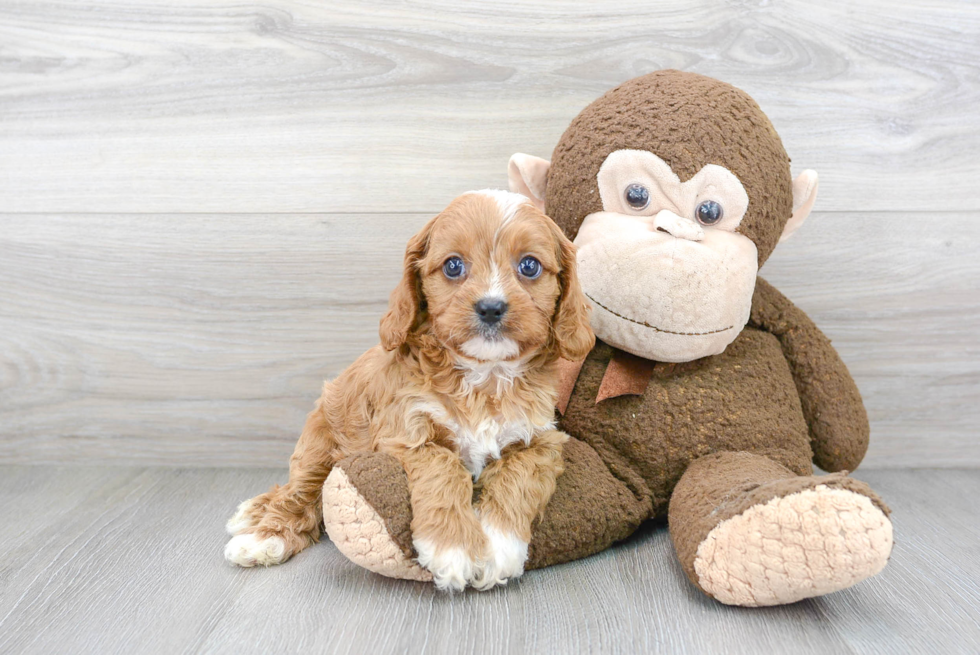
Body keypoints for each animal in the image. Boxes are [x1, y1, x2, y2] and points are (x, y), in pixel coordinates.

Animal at [224, 191, 588, 596]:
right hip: (318, 443)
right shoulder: (406, 432)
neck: (483, 375)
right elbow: (444, 465)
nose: (491, 307)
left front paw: (499, 547)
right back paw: (263, 535)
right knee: (297, 493)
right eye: (453, 266)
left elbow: (518, 478)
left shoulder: (540, 441)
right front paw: (453, 547)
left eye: (529, 266)